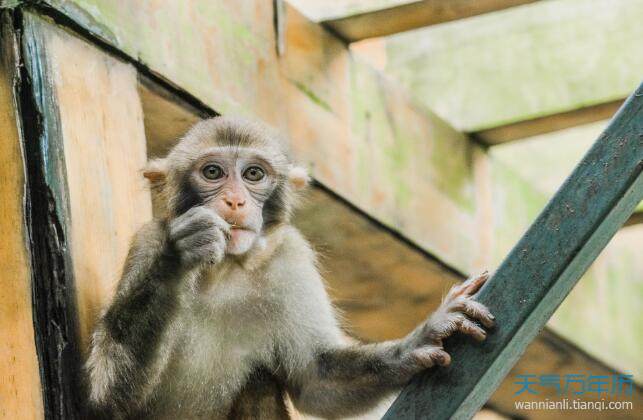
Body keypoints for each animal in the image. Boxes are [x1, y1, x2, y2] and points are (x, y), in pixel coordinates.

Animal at [85, 115, 496, 420]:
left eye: (253, 174)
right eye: (213, 172)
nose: (234, 201)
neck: (224, 271)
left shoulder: (290, 257)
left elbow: (316, 379)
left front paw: (426, 337)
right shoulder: (147, 241)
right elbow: (110, 399)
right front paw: (180, 252)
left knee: (260, 381)